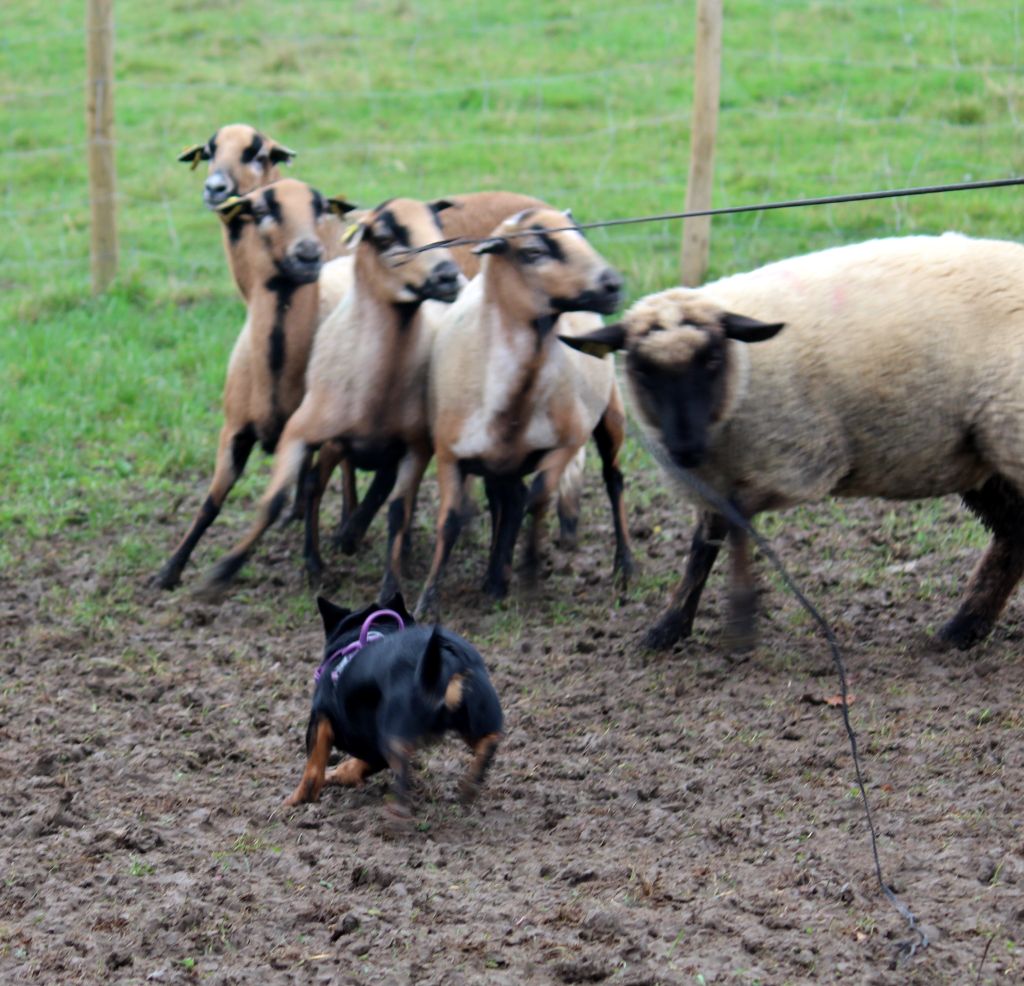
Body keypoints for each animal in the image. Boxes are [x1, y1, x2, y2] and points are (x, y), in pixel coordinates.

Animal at [286, 593, 501, 810]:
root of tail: (446, 660)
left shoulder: (321, 718)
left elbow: (313, 767)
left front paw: (297, 799)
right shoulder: (373, 748)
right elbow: (358, 764)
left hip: (395, 731)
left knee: (401, 765)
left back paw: (398, 811)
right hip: (479, 717)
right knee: (489, 742)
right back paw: (470, 786)